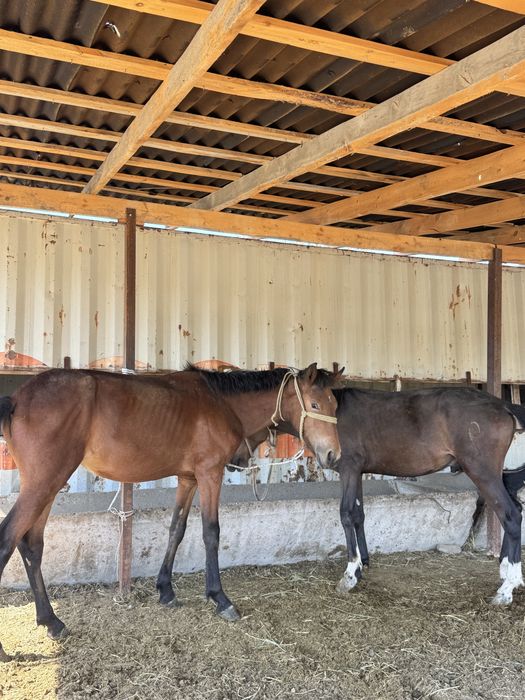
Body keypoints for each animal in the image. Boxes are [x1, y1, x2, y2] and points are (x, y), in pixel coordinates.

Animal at [0, 363, 341, 661]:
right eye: (314, 403)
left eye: (335, 405)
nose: (332, 455)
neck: (221, 402)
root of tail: (17, 399)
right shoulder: (210, 474)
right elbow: (211, 532)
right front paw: (219, 598)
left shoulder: (188, 478)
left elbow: (177, 529)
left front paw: (165, 590)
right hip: (45, 482)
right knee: (8, 540)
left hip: (47, 484)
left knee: (31, 545)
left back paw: (51, 620)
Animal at [231, 386, 525, 606]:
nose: (234, 460)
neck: (329, 414)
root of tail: (503, 406)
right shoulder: (358, 473)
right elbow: (359, 514)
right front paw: (363, 564)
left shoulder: (348, 470)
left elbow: (346, 514)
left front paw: (350, 575)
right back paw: (507, 571)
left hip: (482, 472)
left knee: (510, 515)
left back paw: (506, 588)